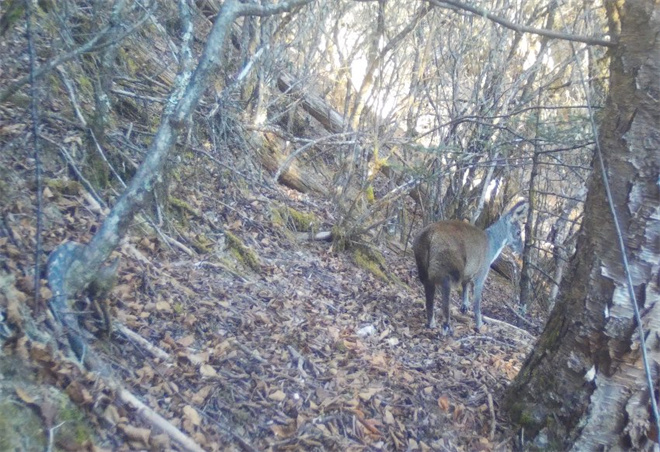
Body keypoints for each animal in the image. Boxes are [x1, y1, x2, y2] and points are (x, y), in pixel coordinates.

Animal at [412, 201, 524, 336]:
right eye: (518, 232)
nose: (521, 250)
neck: (492, 245)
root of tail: (430, 235)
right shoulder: (482, 271)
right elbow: (477, 301)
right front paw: (480, 325)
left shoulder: (469, 270)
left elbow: (465, 285)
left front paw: (465, 306)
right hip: (448, 268)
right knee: (445, 298)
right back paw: (446, 327)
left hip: (422, 264)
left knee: (429, 294)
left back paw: (431, 323)